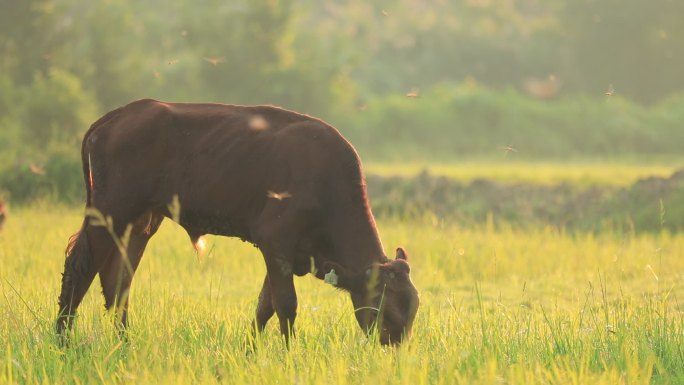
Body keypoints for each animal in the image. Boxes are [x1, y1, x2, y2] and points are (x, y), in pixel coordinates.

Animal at [58, 99, 420, 344]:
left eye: (412, 309)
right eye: (384, 307)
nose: (394, 346)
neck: (326, 184)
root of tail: (117, 116)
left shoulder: (288, 255)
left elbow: (265, 305)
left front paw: (251, 350)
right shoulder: (275, 241)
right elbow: (286, 305)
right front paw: (288, 353)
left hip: (141, 223)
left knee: (118, 280)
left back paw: (124, 343)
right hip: (110, 212)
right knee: (80, 268)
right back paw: (62, 341)